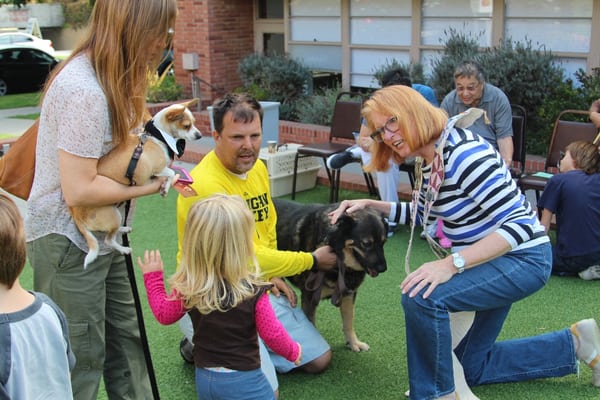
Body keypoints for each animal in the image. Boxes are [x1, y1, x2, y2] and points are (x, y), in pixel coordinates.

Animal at [70, 98, 202, 268]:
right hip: (112, 214)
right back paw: (124, 249)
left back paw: (123, 228)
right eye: (186, 125)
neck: (158, 137)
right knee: (108, 240)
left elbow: (170, 174)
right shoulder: (157, 169)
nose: (199, 135)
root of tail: (74, 211)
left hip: (116, 212)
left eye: (194, 123)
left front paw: (164, 186)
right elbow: (171, 173)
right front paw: (165, 187)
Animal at [274, 198, 390, 352]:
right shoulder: (309, 298)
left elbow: (348, 322)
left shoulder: (348, 294)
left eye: (383, 242)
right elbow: (312, 326)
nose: (383, 268)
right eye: (366, 244)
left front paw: (353, 343)